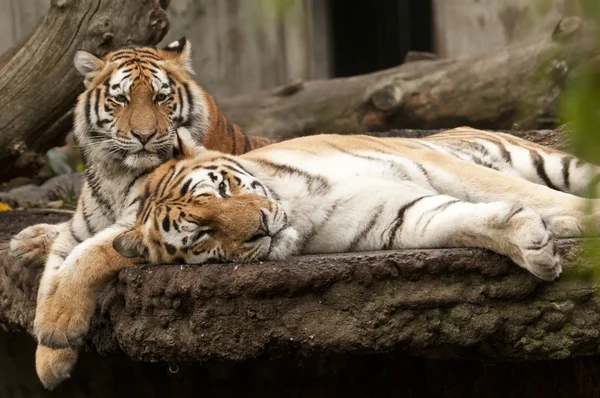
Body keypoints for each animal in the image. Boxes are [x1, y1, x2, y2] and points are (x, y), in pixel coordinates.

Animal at [8, 38, 272, 392]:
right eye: (121, 99)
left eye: (161, 97)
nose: (144, 136)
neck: (114, 173)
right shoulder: (77, 229)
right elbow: (52, 273)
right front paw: (49, 355)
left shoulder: (137, 225)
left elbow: (83, 259)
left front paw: (57, 327)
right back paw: (26, 240)